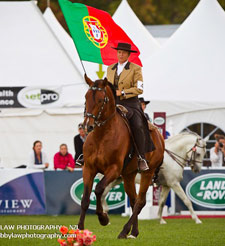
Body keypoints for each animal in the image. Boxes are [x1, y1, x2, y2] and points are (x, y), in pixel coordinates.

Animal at [78, 75, 164, 238]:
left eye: (101, 100)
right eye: (85, 98)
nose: (87, 126)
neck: (102, 135)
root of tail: (159, 135)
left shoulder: (114, 169)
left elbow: (98, 189)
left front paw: (103, 218)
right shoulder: (89, 169)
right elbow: (85, 199)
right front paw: (79, 230)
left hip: (147, 173)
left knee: (140, 202)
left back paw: (124, 231)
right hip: (129, 175)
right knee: (134, 200)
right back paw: (134, 232)